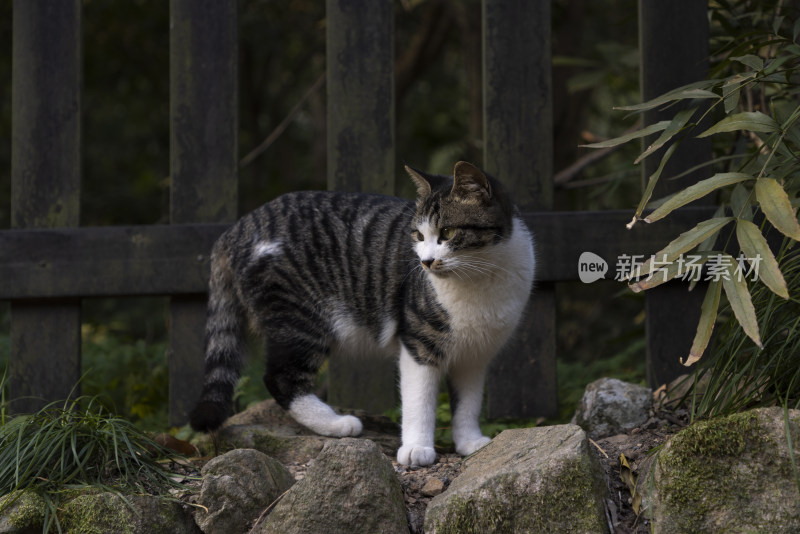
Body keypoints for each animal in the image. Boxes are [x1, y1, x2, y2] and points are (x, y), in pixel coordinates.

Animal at [190, 161, 536, 466]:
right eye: (418, 236)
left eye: (448, 232)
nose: (425, 262)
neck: (481, 278)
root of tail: (238, 226)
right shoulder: (419, 340)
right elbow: (419, 400)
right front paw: (416, 448)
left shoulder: (475, 355)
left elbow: (468, 403)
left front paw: (470, 443)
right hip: (299, 316)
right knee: (280, 377)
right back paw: (338, 424)